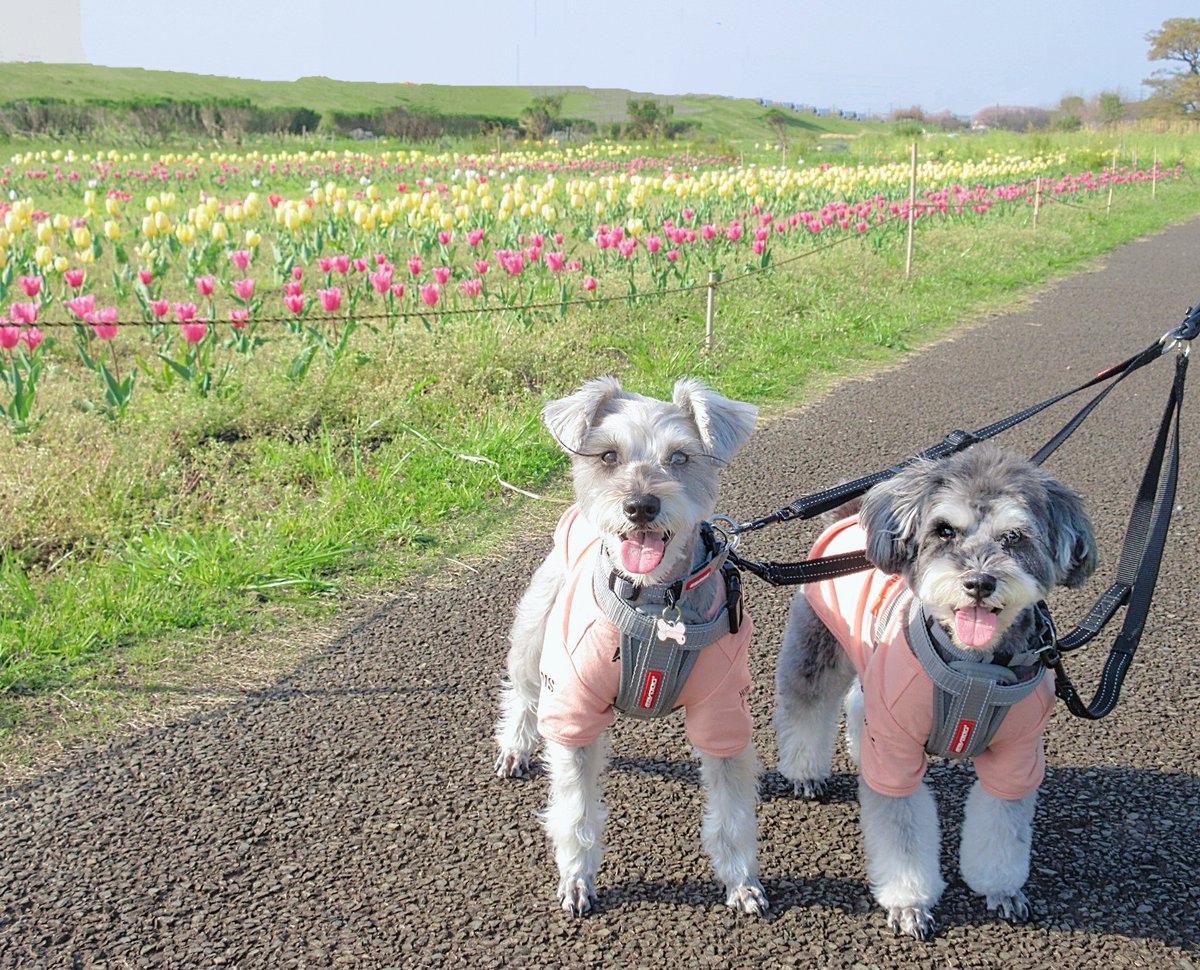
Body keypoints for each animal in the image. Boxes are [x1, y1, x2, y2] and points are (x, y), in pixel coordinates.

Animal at [496, 376, 768, 917]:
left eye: (680, 457)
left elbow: (732, 814)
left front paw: (741, 881)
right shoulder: (574, 707)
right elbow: (576, 811)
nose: (641, 506)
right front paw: (577, 878)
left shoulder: (724, 714)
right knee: (523, 690)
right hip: (535, 631)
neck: (656, 603)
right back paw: (515, 747)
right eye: (607, 455)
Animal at [777, 444, 1099, 936]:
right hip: (816, 648)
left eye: (1014, 537)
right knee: (806, 707)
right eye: (944, 530)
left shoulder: (1016, 757)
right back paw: (805, 773)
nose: (980, 582)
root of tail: (851, 517)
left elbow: (1003, 831)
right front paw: (910, 903)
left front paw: (1002, 890)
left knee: (858, 703)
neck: (974, 670)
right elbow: (902, 837)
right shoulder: (895, 754)